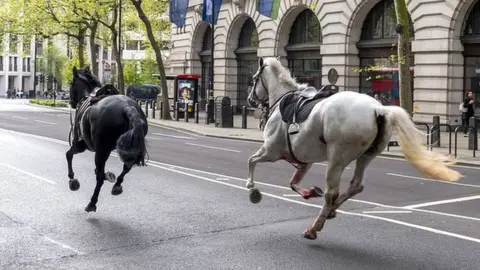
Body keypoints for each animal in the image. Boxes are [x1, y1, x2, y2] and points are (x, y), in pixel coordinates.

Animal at [66, 66, 147, 212]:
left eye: (71, 83)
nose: (71, 102)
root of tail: (127, 107)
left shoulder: (81, 145)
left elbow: (68, 155)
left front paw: (72, 179)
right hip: (126, 148)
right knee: (127, 167)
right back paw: (117, 184)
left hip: (100, 150)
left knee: (99, 177)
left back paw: (92, 203)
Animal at [248, 56, 462, 240]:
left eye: (253, 79)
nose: (250, 100)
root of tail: (379, 109)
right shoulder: (304, 160)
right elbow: (293, 183)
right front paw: (309, 192)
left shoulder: (271, 151)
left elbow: (252, 161)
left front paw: (252, 190)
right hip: (366, 155)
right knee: (355, 185)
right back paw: (331, 211)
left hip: (337, 157)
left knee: (332, 192)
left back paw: (315, 227)